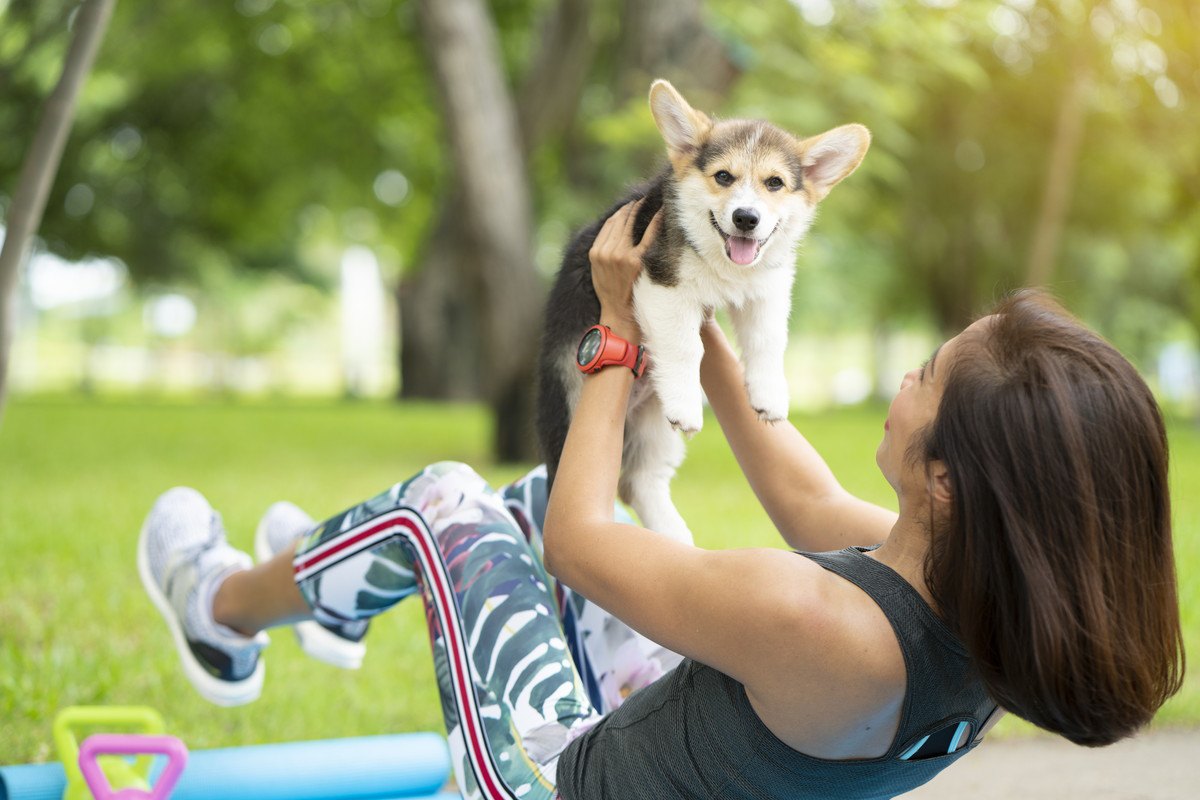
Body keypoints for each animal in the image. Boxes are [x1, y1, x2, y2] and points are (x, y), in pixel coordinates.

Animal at [540, 79, 868, 544]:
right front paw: (686, 403)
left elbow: (768, 342)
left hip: (652, 428)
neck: (722, 258)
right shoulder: (663, 285)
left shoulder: (767, 291)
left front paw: (769, 396)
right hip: (570, 400)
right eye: (723, 177)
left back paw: (674, 540)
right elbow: (684, 348)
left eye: (775, 183)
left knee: (639, 480)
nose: (746, 218)